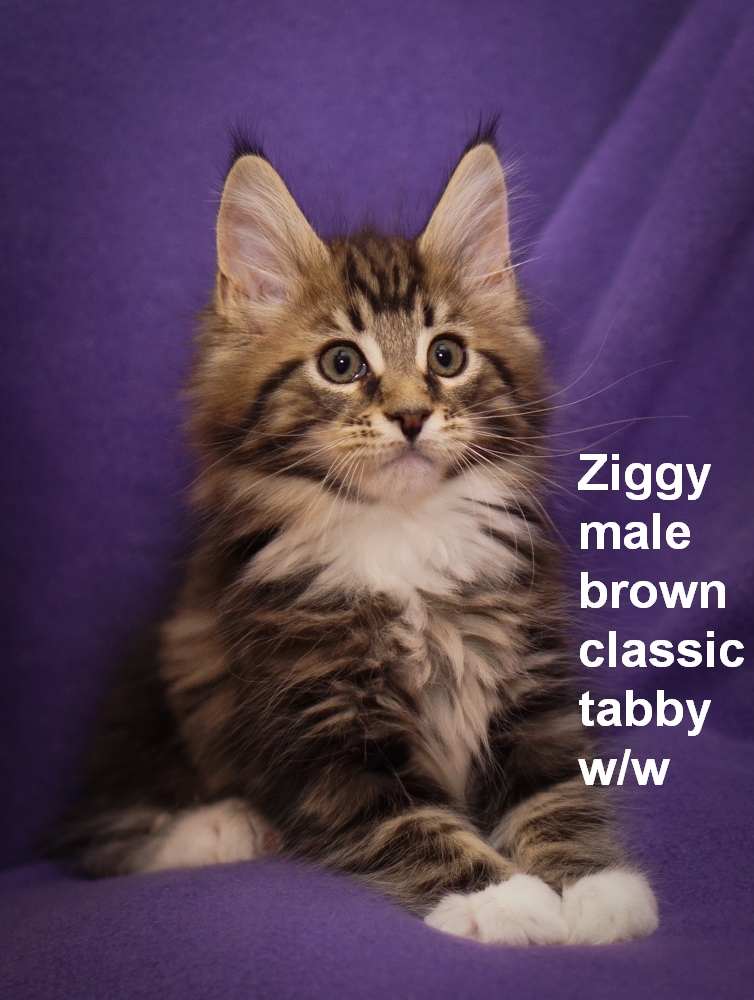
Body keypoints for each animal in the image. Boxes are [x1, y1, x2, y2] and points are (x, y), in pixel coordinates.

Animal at [58, 130, 658, 946]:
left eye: (446, 356)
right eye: (341, 363)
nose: (411, 415)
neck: (403, 536)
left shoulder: (533, 696)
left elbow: (559, 796)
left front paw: (597, 890)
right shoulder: (327, 738)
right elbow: (417, 827)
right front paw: (504, 901)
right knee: (97, 840)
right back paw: (220, 829)